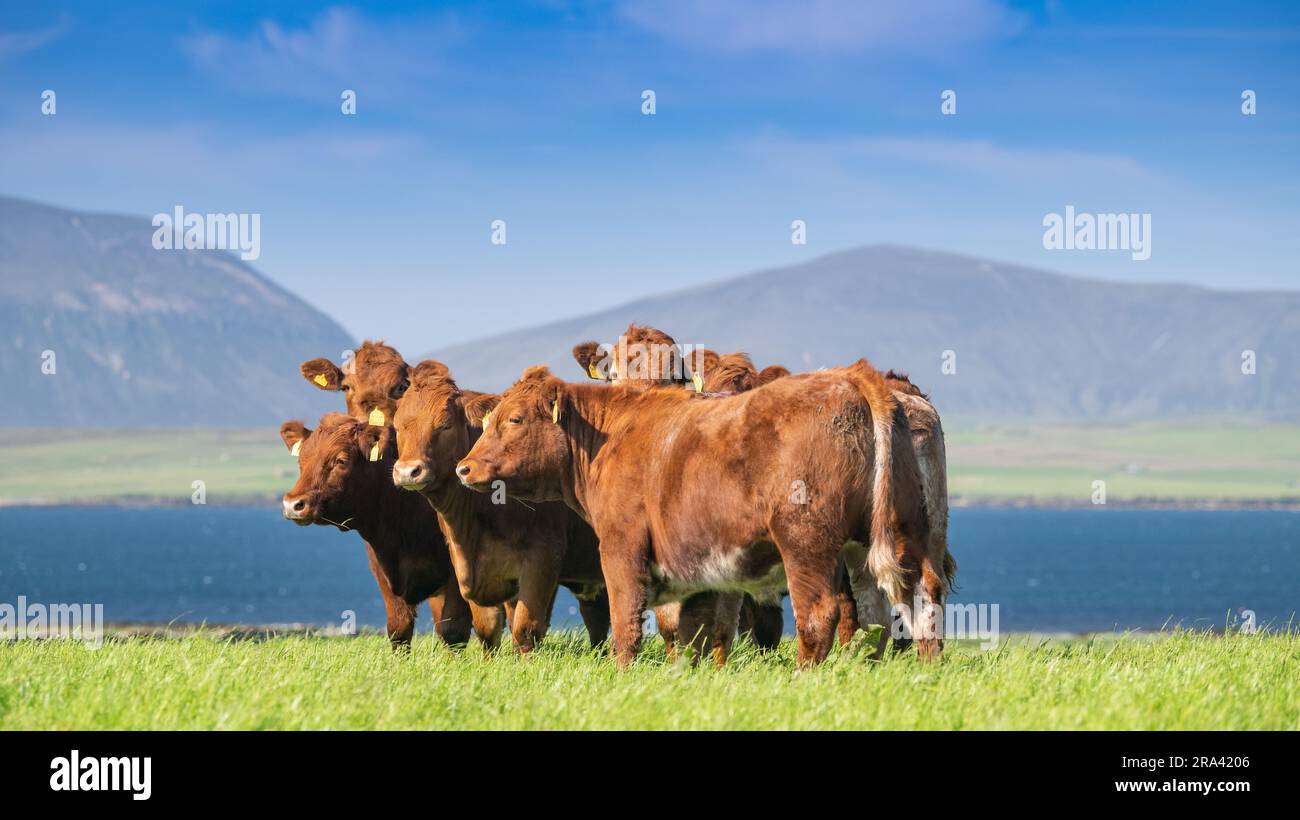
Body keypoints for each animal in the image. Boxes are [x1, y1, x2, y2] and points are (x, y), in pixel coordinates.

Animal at [296, 341, 504, 648]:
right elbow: (399, 626)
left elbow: (453, 629)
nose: (368, 423)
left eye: (400, 387)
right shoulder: (381, 561)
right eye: (346, 386)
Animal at [389, 360, 610, 653]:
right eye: (398, 427)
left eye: (445, 425)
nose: (407, 471)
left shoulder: (542, 558)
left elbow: (526, 630)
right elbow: (487, 629)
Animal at [455, 362, 943, 668]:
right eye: (490, 419)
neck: (612, 436)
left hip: (807, 541)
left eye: (515, 419)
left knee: (824, 614)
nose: (464, 467)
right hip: (897, 534)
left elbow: (627, 622)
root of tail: (853, 377)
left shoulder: (621, 546)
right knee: (909, 600)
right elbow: (699, 631)